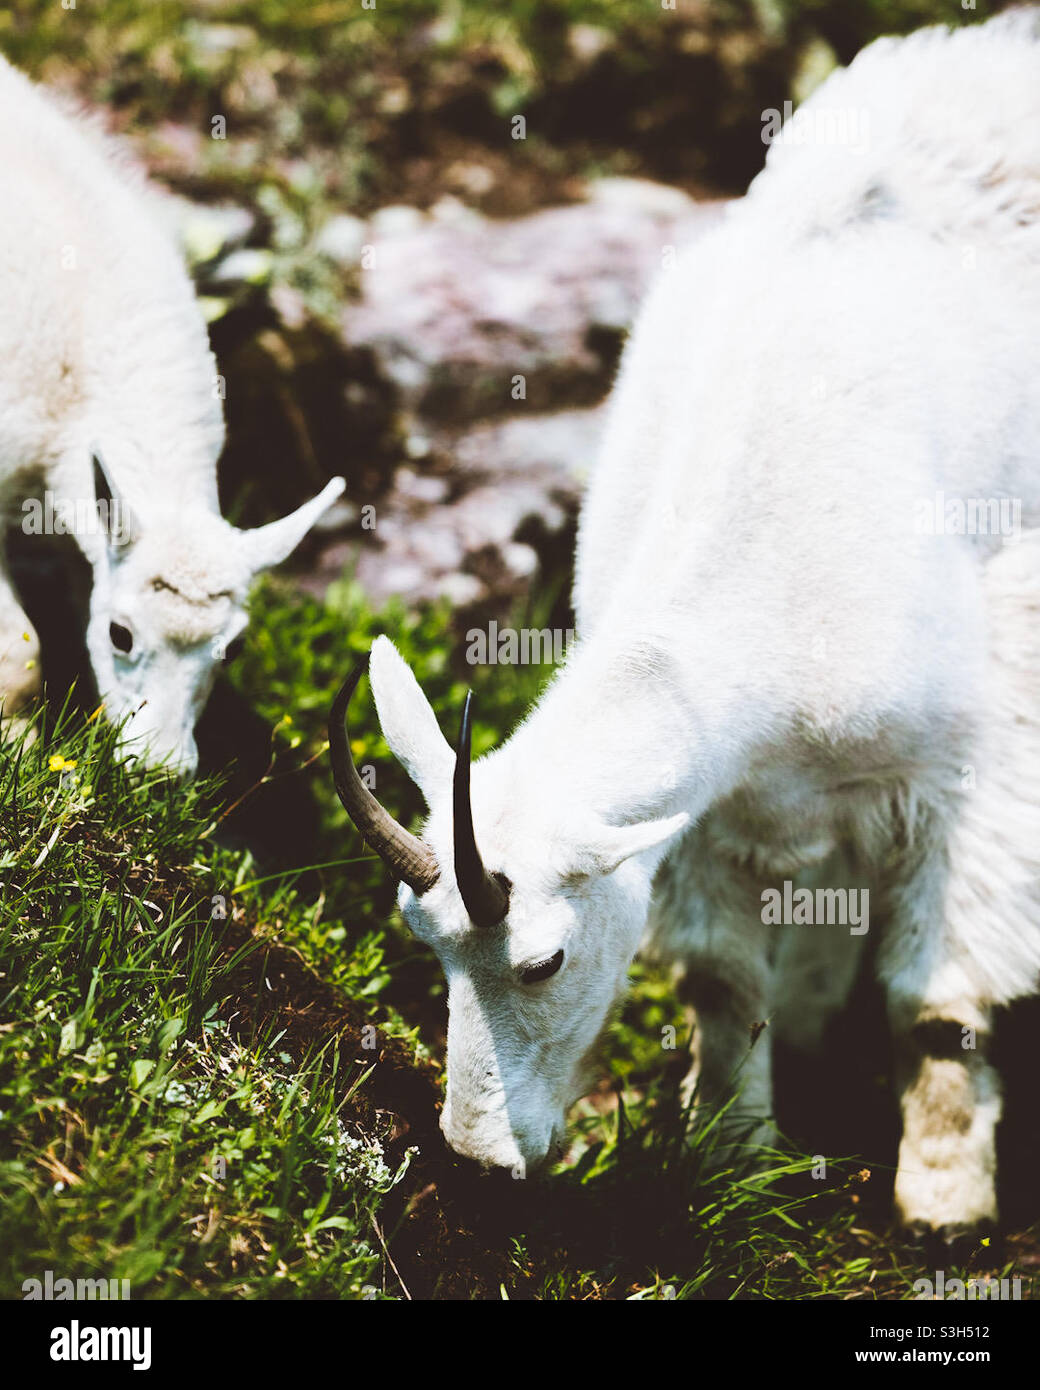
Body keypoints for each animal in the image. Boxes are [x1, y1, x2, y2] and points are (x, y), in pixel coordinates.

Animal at [330, 13, 1040, 1239]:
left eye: (543, 960)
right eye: (426, 945)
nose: (476, 1158)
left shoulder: (972, 763)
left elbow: (936, 995)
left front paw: (942, 1197)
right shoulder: (705, 814)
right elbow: (724, 980)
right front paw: (730, 1148)